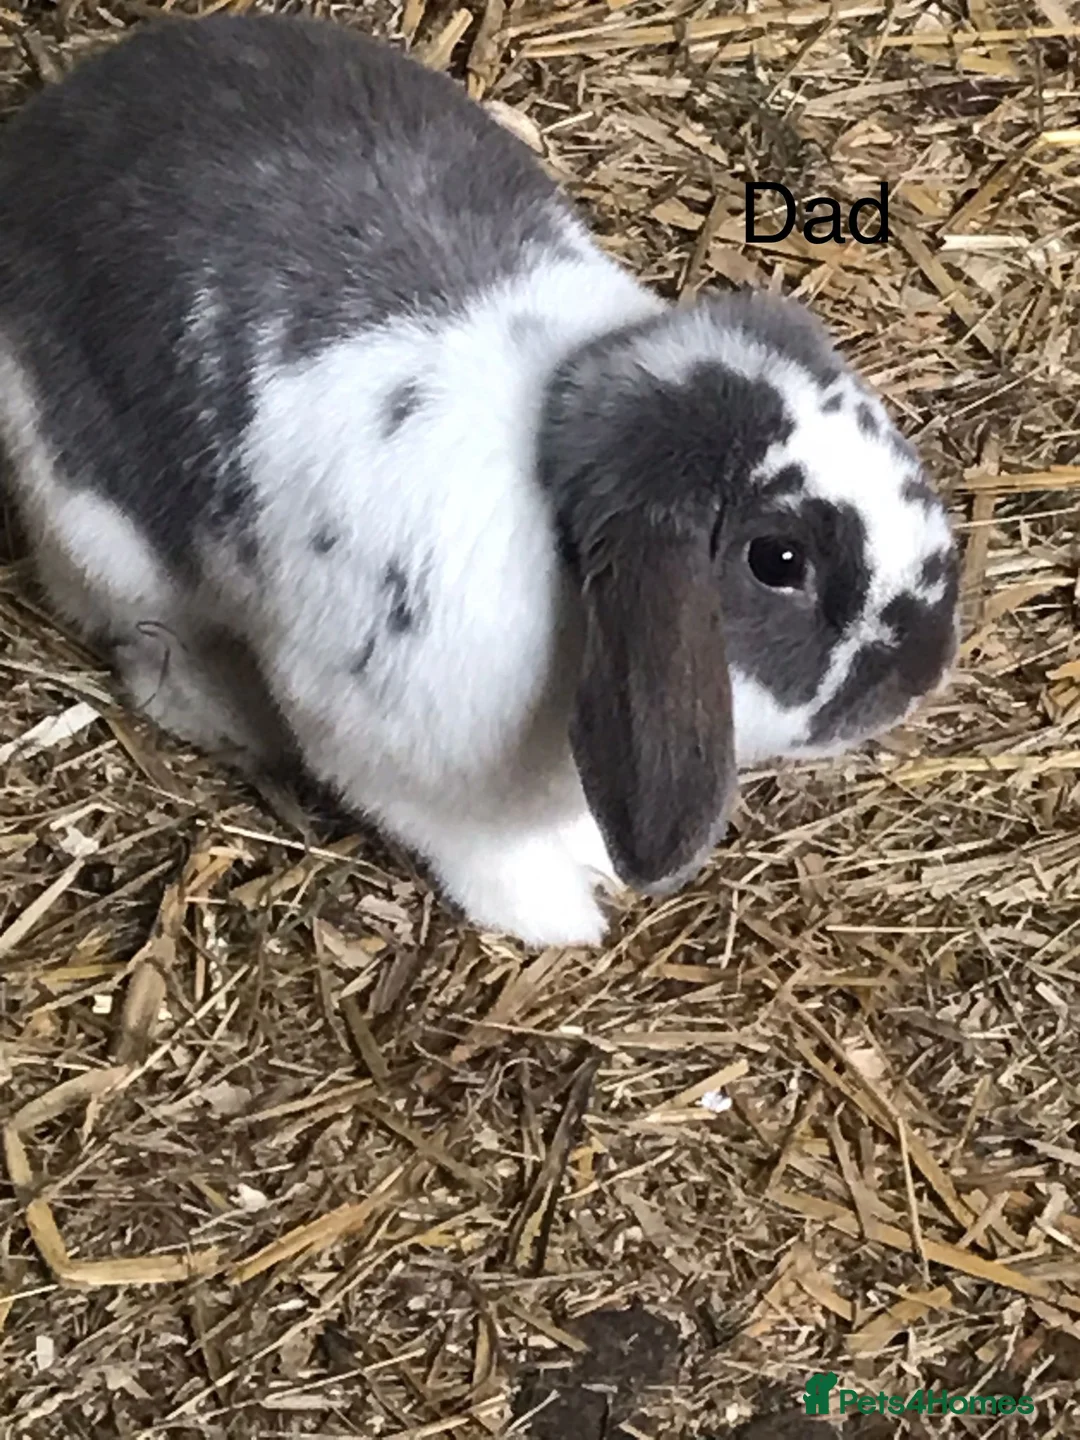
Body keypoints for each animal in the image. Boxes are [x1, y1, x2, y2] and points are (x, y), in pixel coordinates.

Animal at [0, 14, 959, 948]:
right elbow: (484, 855)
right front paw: (564, 918)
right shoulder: (400, 765)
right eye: (778, 561)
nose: (924, 671)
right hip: (104, 540)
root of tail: (47, 130)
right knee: (148, 644)